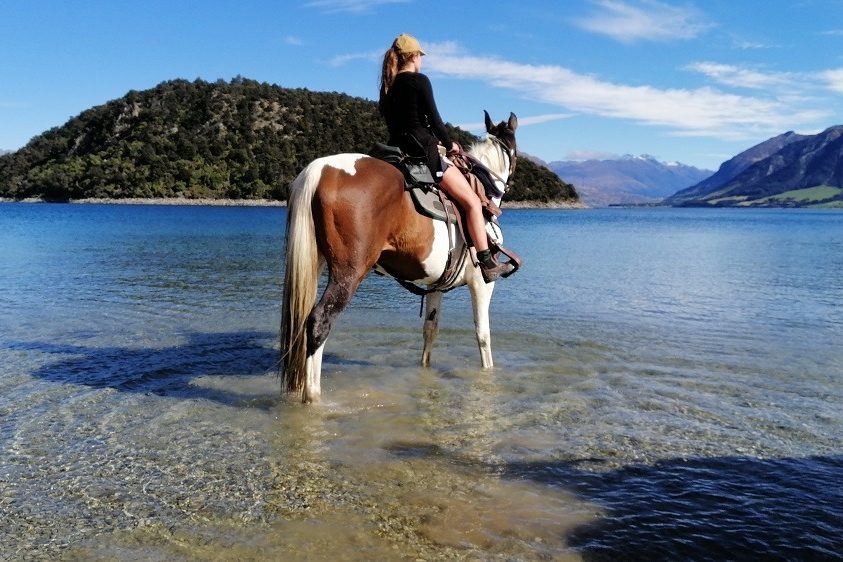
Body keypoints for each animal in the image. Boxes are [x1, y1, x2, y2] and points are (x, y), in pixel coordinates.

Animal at [280, 111, 516, 400]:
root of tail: (321, 169)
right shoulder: (482, 284)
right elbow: (483, 335)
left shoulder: (436, 286)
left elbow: (430, 331)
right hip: (348, 274)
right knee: (319, 322)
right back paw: (313, 396)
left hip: (315, 264)